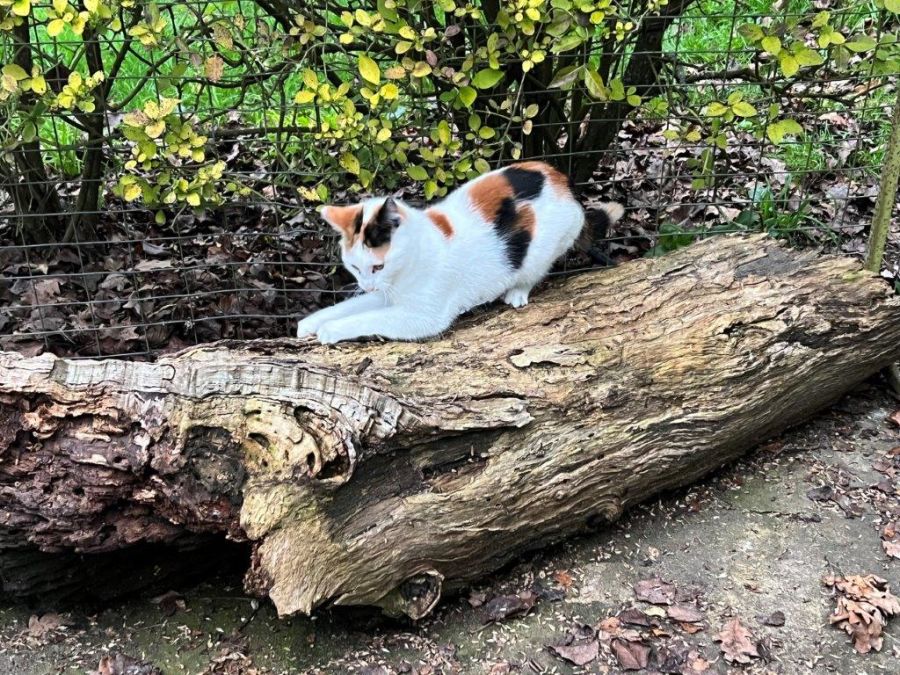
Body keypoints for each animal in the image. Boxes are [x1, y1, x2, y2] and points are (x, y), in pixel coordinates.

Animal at [296, 161, 623, 344]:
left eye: (378, 266)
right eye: (353, 267)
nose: (366, 285)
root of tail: (561, 181)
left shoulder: (421, 316)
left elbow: (366, 318)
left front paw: (330, 329)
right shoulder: (385, 294)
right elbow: (349, 307)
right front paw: (311, 323)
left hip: (547, 247)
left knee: (533, 272)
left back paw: (516, 292)